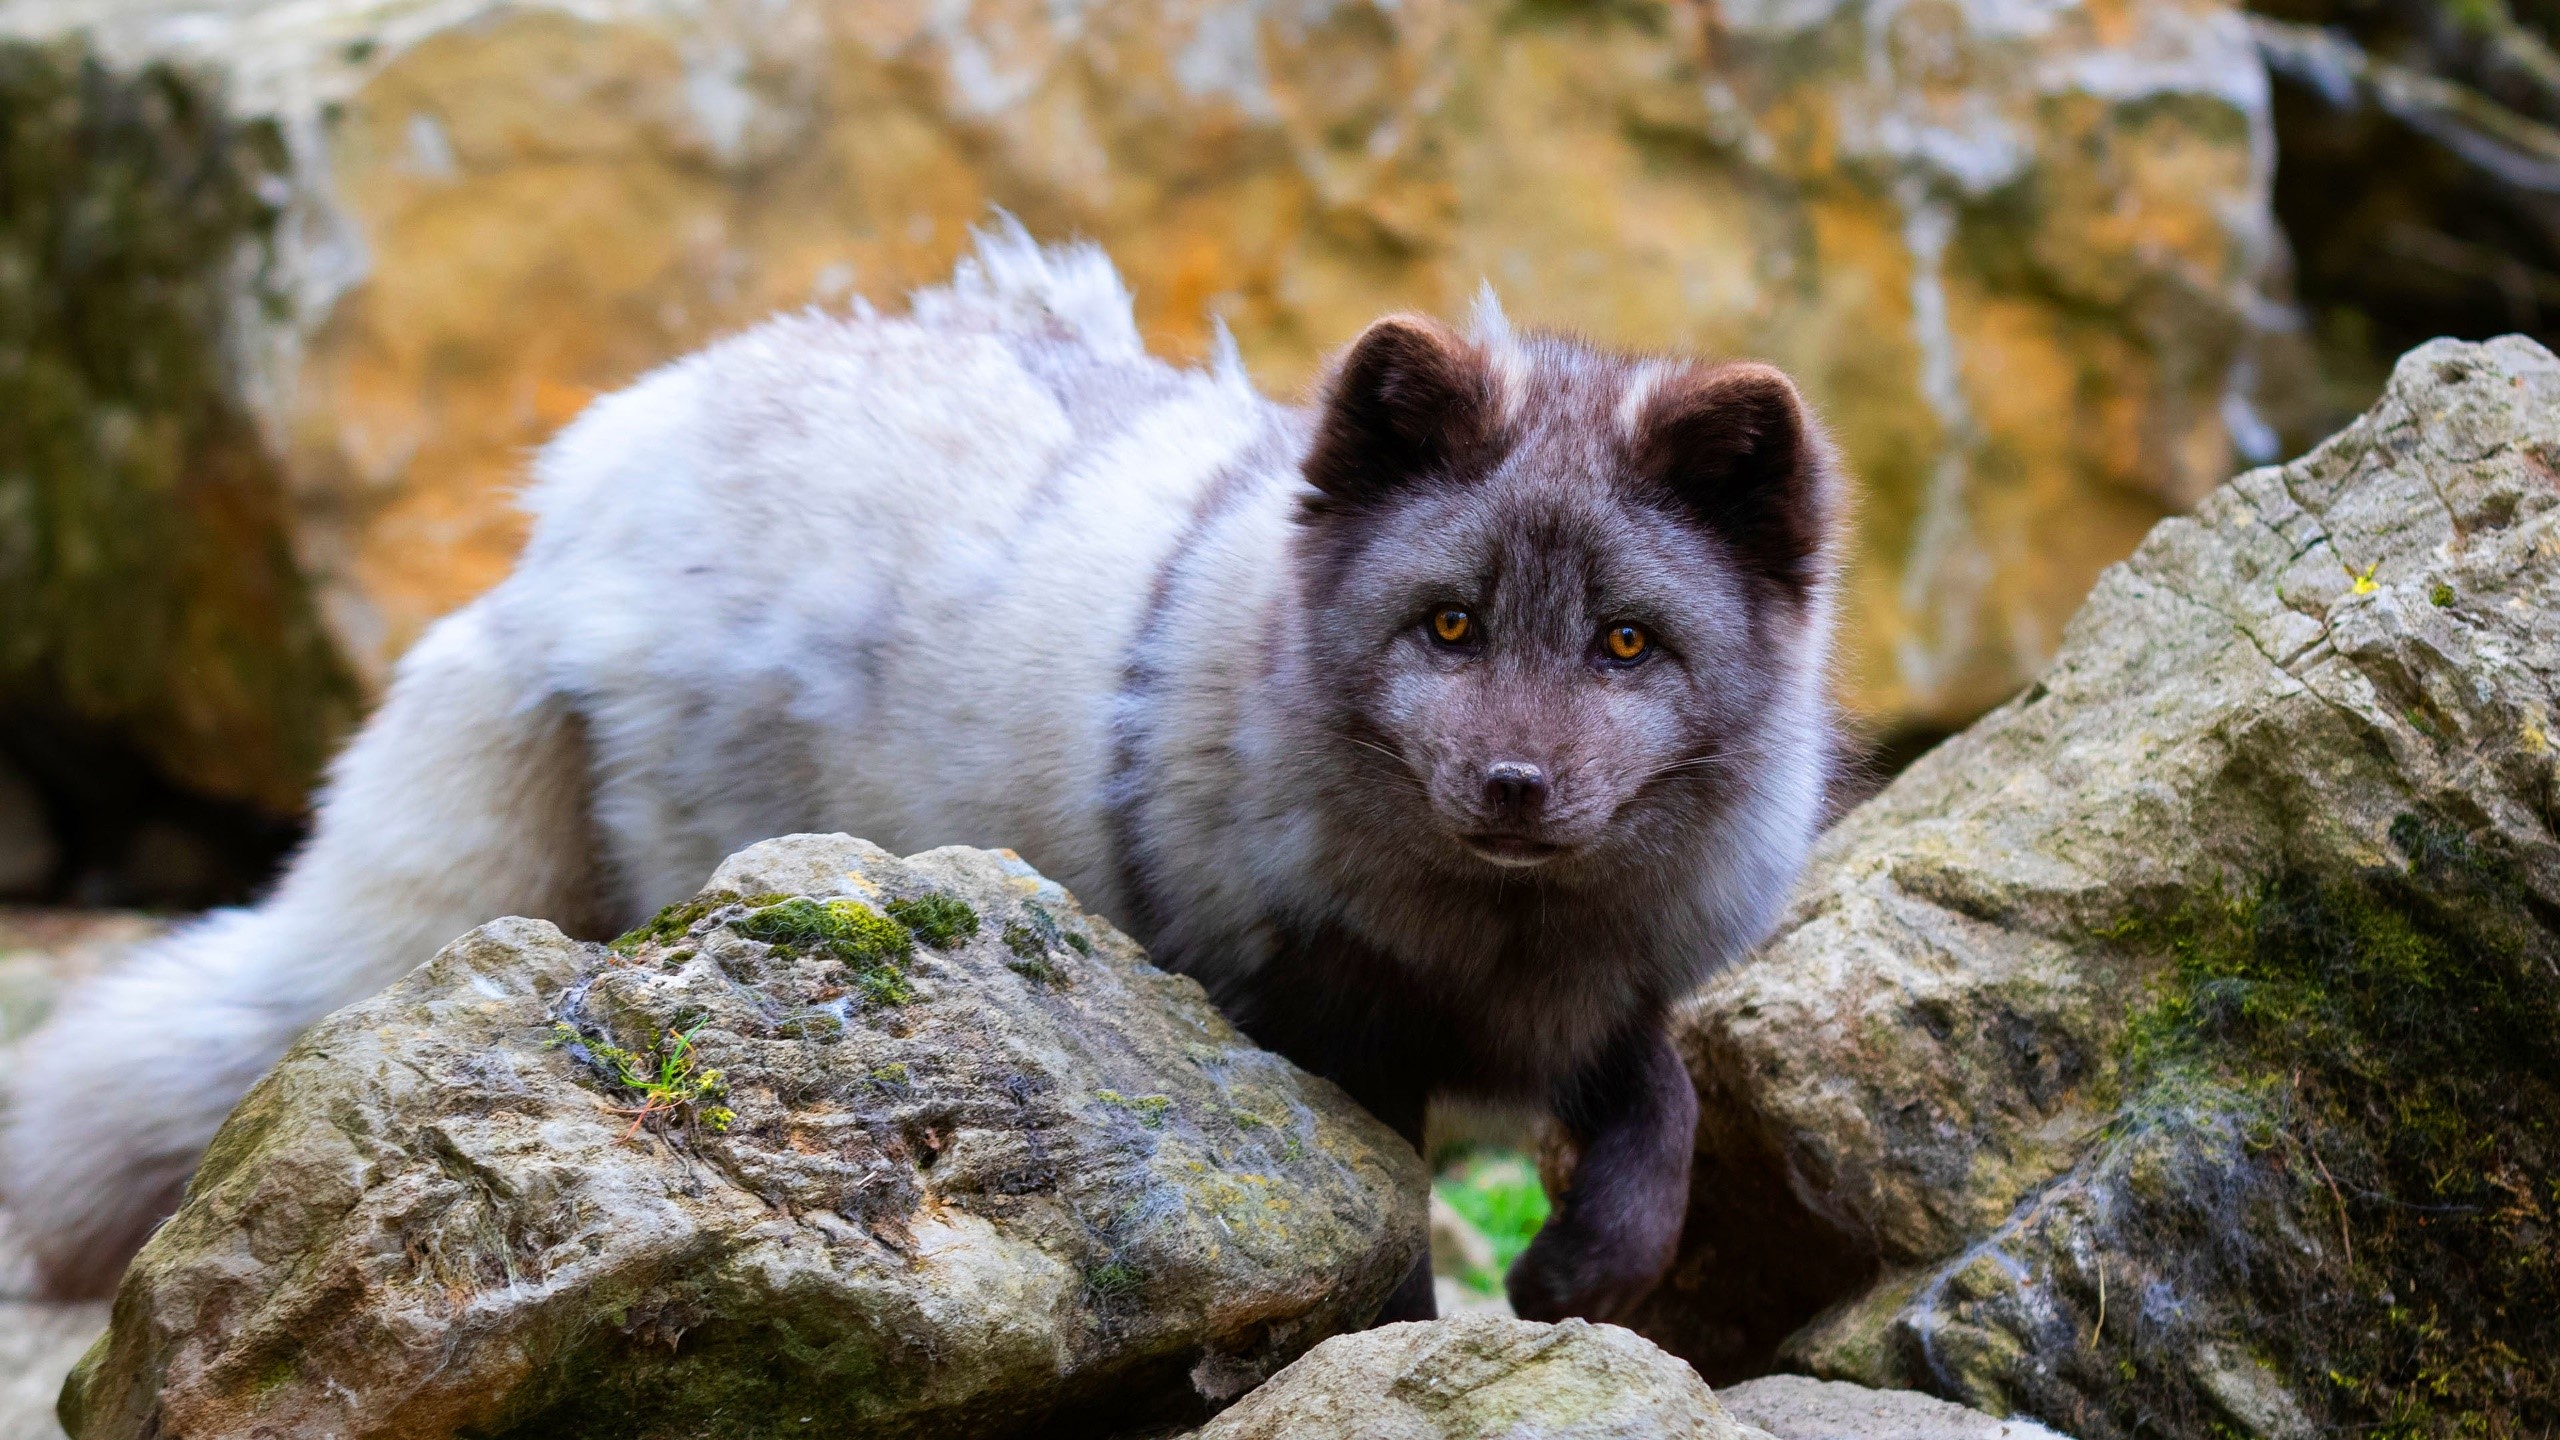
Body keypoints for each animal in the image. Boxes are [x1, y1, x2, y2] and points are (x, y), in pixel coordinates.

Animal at [1, 223, 1843, 1321]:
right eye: (1449, 626)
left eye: (1625, 645)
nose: (1516, 788)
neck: (1490, 950)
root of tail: (573, 513)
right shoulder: (1316, 1027)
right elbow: (1386, 1214)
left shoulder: (1609, 998)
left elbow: (1667, 1115)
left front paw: (1587, 1270)